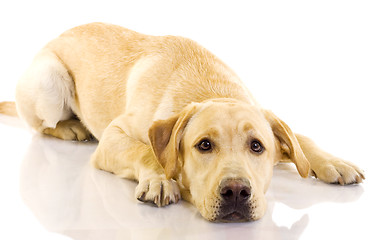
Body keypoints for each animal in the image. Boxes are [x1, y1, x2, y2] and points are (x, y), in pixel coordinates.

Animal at [0, 22, 362, 221]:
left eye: (257, 146)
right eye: (204, 145)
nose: (236, 191)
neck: (210, 87)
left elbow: (301, 139)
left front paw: (333, 161)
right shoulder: (114, 136)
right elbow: (146, 150)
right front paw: (160, 179)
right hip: (49, 82)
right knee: (41, 124)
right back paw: (70, 126)